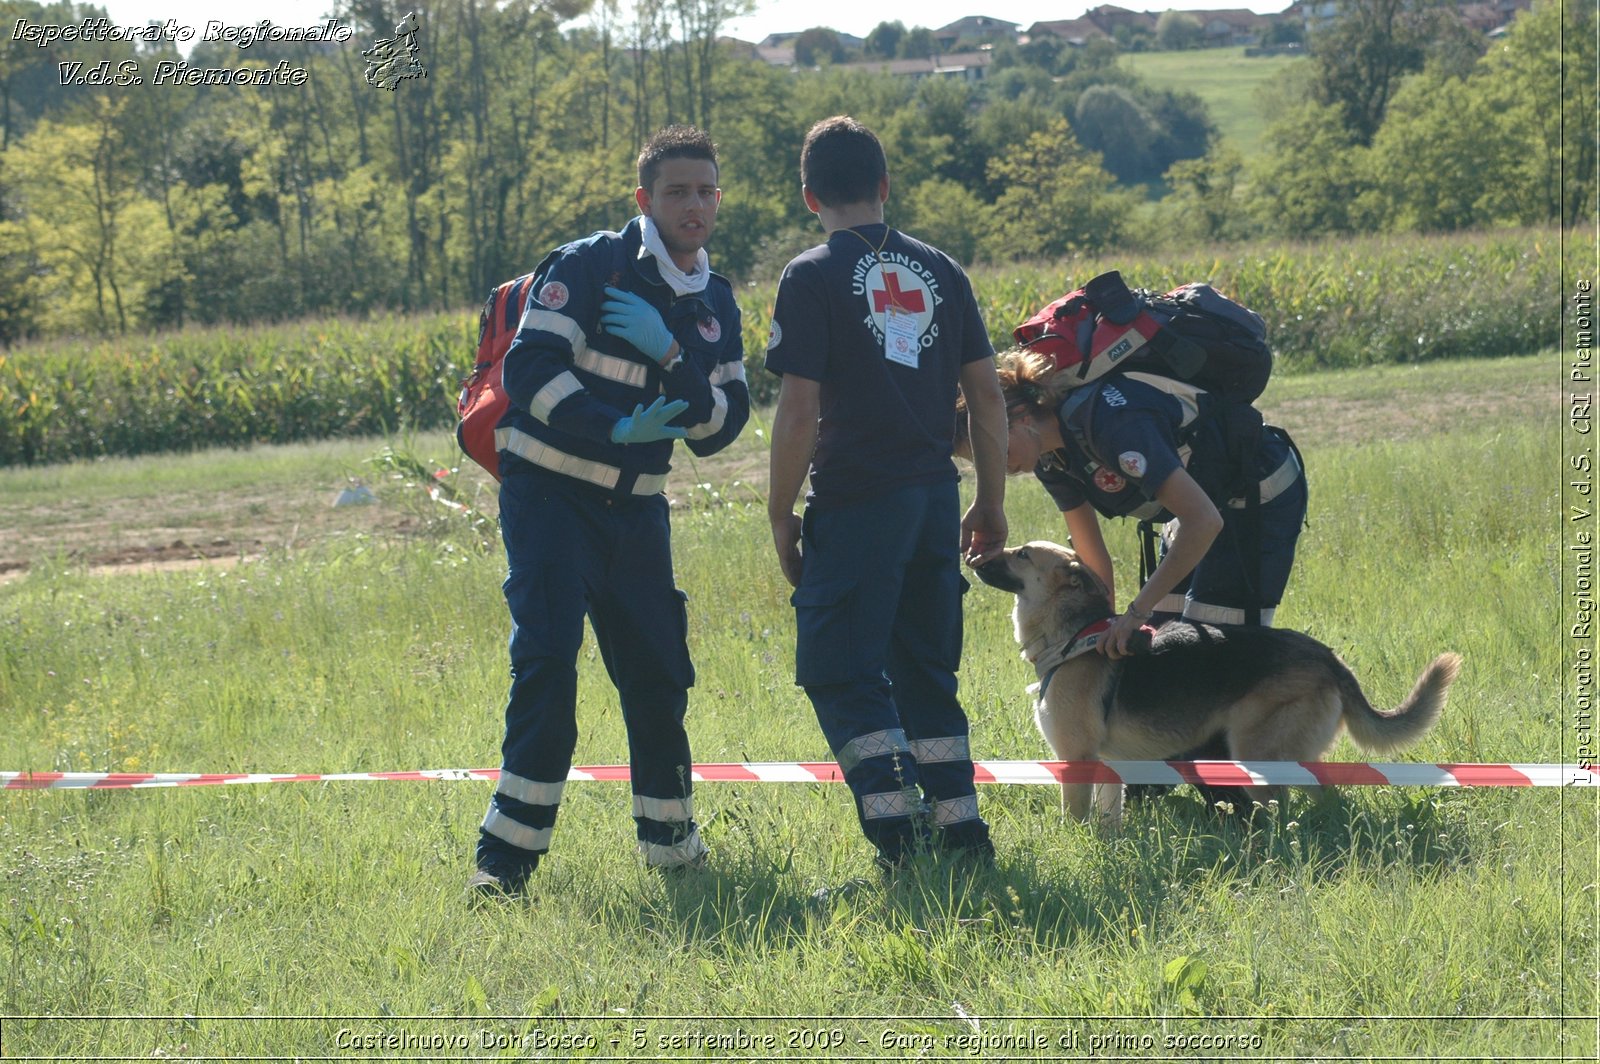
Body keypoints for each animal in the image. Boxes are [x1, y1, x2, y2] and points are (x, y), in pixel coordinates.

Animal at [966, 540, 1459, 832]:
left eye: (1022, 553)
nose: (971, 554)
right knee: (1325, 794)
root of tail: (1329, 658)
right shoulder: (1105, 766)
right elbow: (1108, 818)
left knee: (1284, 802)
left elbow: (1076, 817)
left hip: (1253, 755)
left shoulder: (1075, 760)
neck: (1072, 637)